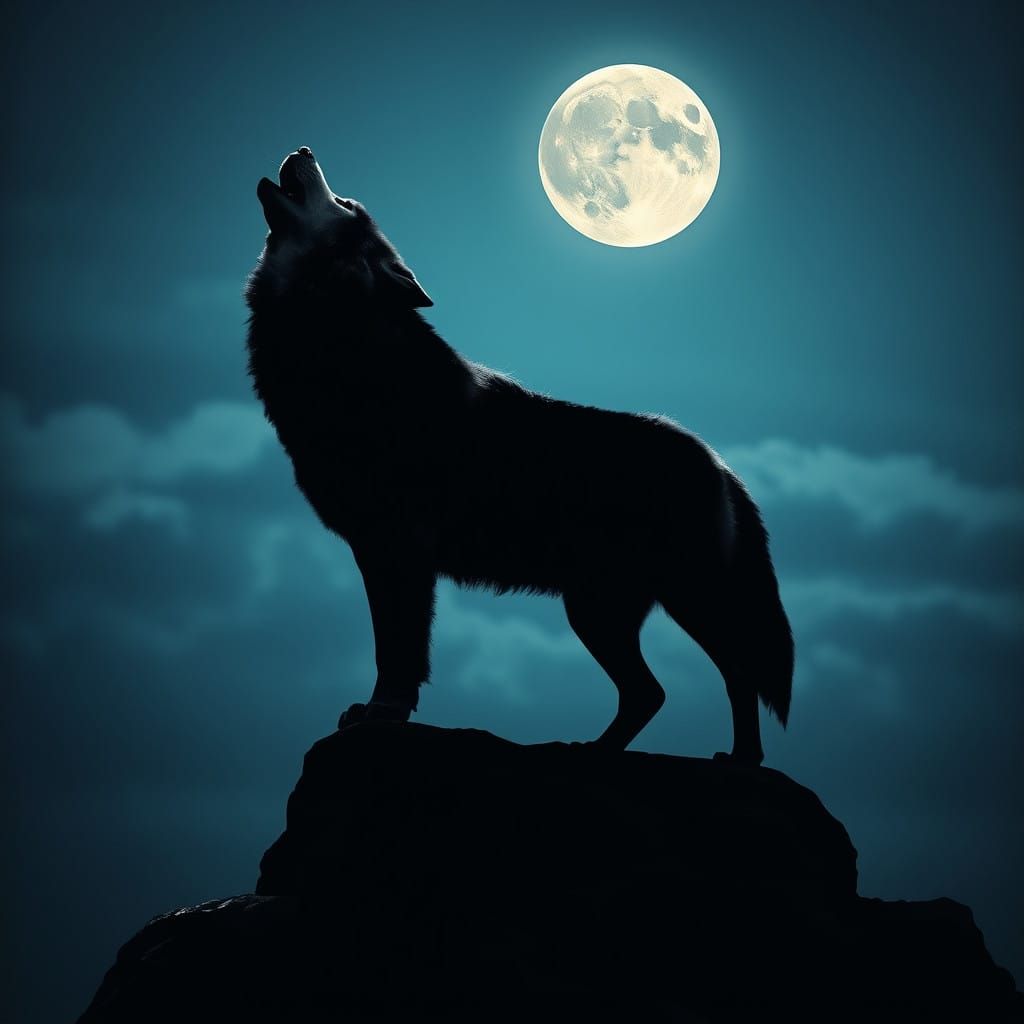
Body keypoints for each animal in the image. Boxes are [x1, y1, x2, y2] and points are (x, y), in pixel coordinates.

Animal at [245, 147, 793, 763]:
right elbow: (388, 645)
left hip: (677, 600)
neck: (342, 357)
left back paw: (740, 758)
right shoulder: (372, 551)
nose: (305, 151)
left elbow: (401, 652)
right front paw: (371, 711)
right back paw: (594, 749)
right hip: (595, 610)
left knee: (736, 674)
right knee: (650, 693)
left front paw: (384, 714)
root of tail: (723, 466)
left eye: (344, 202)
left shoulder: (402, 550)